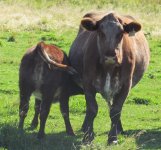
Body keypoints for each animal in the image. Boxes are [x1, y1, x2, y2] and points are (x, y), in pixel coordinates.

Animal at [69, 12, 150, 145]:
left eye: (121, 33)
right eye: (100, 32)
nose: (110, 56)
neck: (108, 67)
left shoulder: (125, 85)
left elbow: (116, 111)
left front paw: (113, 138)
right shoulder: (87, 83)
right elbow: (92, 109)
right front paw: (88, 137)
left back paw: (119, 129)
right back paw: (85, 127)